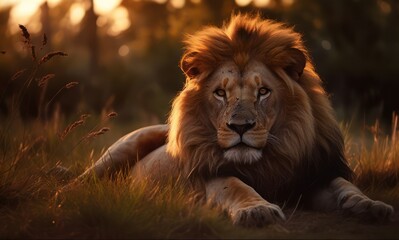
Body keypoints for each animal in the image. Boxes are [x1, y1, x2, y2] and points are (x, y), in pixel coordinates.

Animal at [73, 13, 396, 227]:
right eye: (220, 93)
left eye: (263, 92)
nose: (240, 127)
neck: (268, 161)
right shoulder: (210, 175)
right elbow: (235, 185)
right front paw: (257, 210)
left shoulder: (312, 176)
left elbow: (345, 185)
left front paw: (371, 205)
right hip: (123, 148)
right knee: (82, 181)